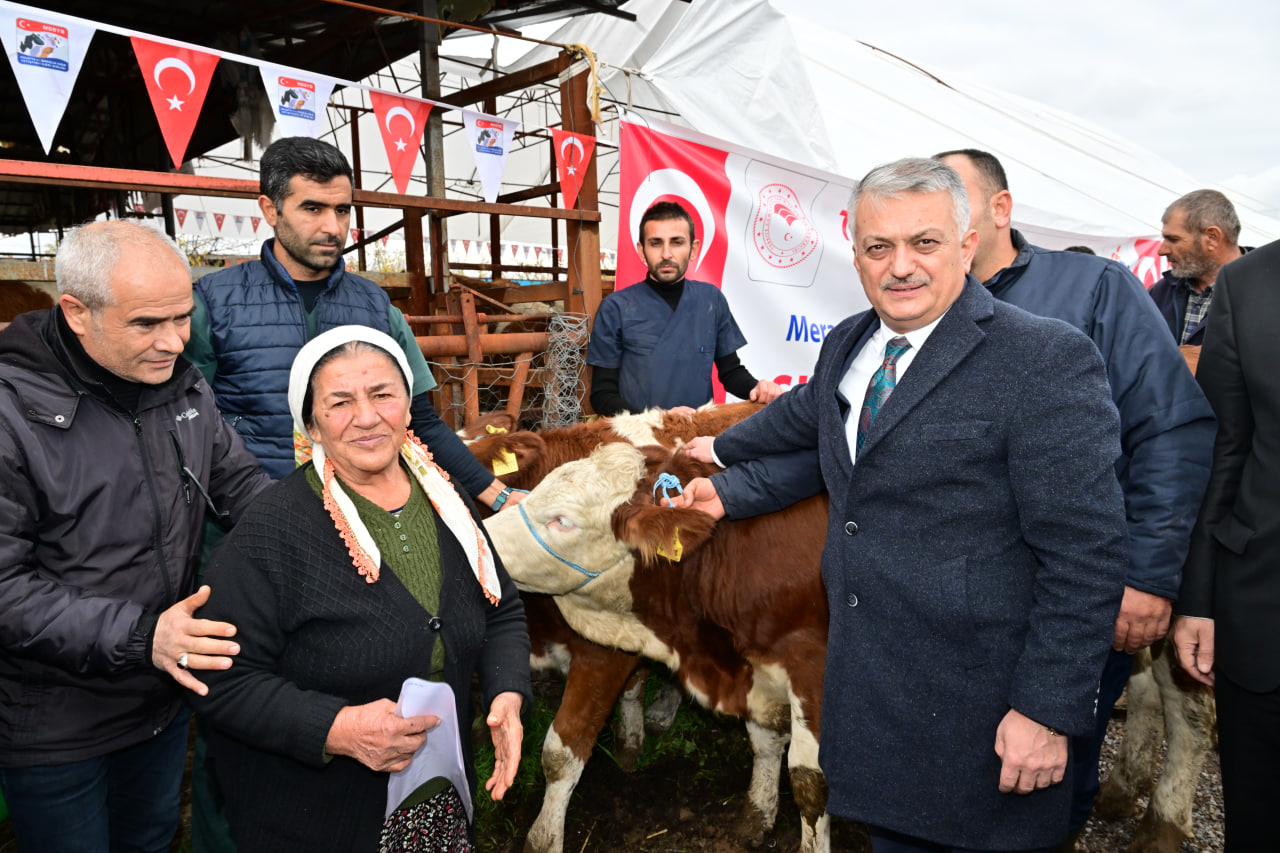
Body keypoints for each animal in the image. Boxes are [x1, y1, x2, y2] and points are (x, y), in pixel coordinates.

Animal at [481, 438, 829, 850]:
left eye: (562, 520)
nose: (478, 539)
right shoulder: (753, 675)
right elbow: (765, 742)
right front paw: (758, 812)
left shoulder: (812, 670)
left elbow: (810, 784)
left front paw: (543, 839)